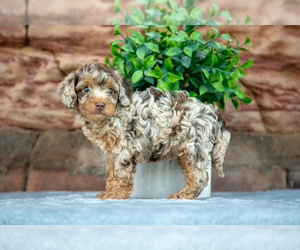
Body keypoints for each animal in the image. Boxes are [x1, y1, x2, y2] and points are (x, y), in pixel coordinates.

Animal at [56, 62, 230, 199]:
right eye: (85, 89)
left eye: (111, 91)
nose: (100, 104)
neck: (113, 115)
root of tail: (214, 115)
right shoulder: (111, 153)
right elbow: (111, 174)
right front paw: (108, 192)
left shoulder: (125, 148)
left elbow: (121, 174)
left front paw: (116, 194)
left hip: (194, 146)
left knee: (199, 177)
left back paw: (183, 195)